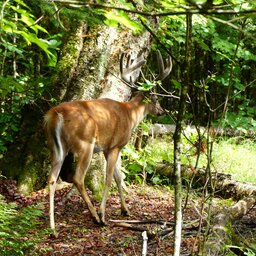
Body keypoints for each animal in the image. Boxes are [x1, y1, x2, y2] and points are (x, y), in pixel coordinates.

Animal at [44, 49, 172, 235]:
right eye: (156, 99)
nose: (161, 110)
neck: (130, 115)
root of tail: (56, 114)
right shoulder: (115, 146)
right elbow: (110, 178)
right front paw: (103, 213)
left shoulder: (109, 148)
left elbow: (119, 178)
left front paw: (125, 210)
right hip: (85, 144)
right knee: (78, 178)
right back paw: (95, 217)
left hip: (55, 146)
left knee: (52, 179)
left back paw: (53, 228)